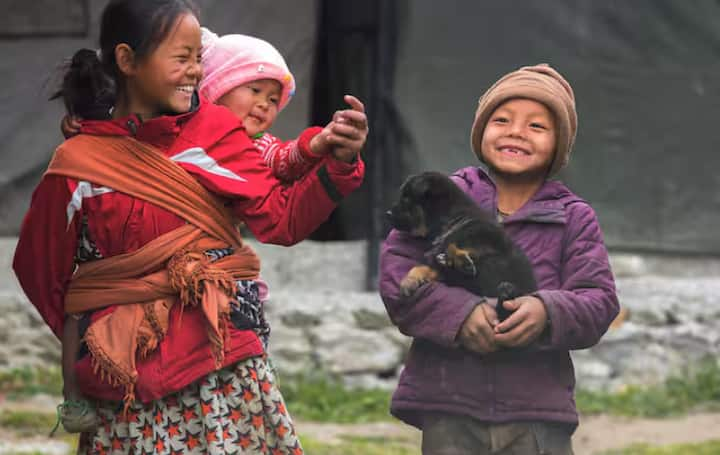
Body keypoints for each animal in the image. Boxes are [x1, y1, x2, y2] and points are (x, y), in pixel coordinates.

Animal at [388, 170, 536, 320]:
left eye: (406, 200)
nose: (388, 214)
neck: (448, 219)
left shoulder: (488, 237)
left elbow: (453, 242)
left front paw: (462, 262)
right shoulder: (444, 272)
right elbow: (420, 267)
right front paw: (409, 281)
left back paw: (507, 291)